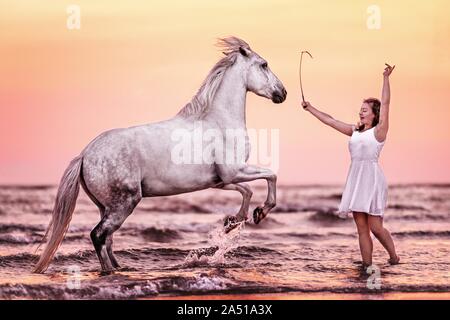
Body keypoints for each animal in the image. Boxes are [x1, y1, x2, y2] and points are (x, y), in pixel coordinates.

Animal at [36, 37, 288, 272]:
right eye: (264, 64)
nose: (282, 93)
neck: (218, 121)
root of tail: (85, 155)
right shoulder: (234, 172)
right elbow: (270, 175)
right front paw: (260, 212)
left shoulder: (220, 181)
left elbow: (247, 190)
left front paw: (234, 221)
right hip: (124, 203)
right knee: (98, 236)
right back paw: (110, 271)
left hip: (106, 207)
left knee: (108, 240)